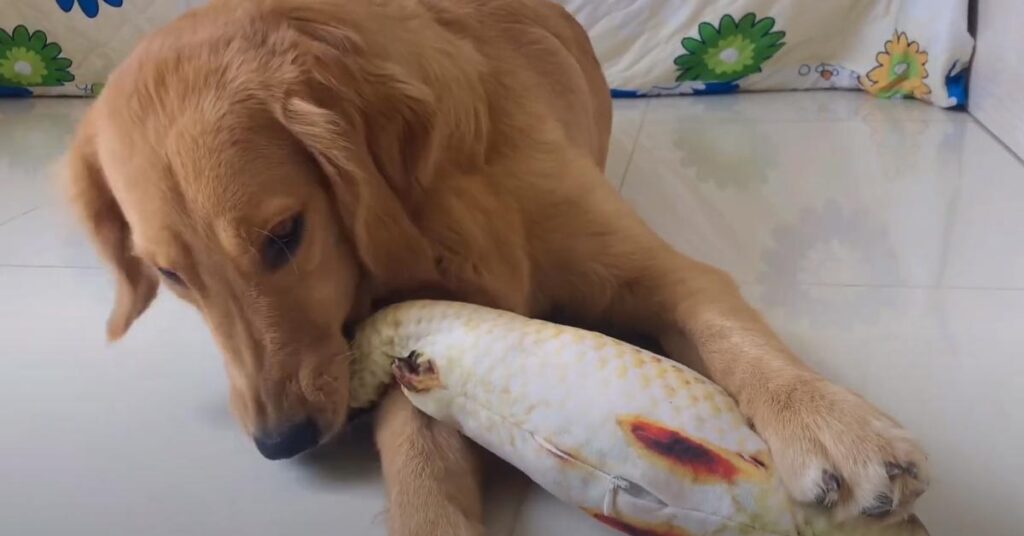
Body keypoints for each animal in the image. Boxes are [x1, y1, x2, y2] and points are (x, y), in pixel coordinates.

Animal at [64, 0, 929, 528]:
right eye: (172, 277)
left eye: (284, 235)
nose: (282, 443)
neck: (445, 199)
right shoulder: (414, 339)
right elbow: (418, 465)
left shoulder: (664, 273)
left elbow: (737, 339)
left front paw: (831, 424)